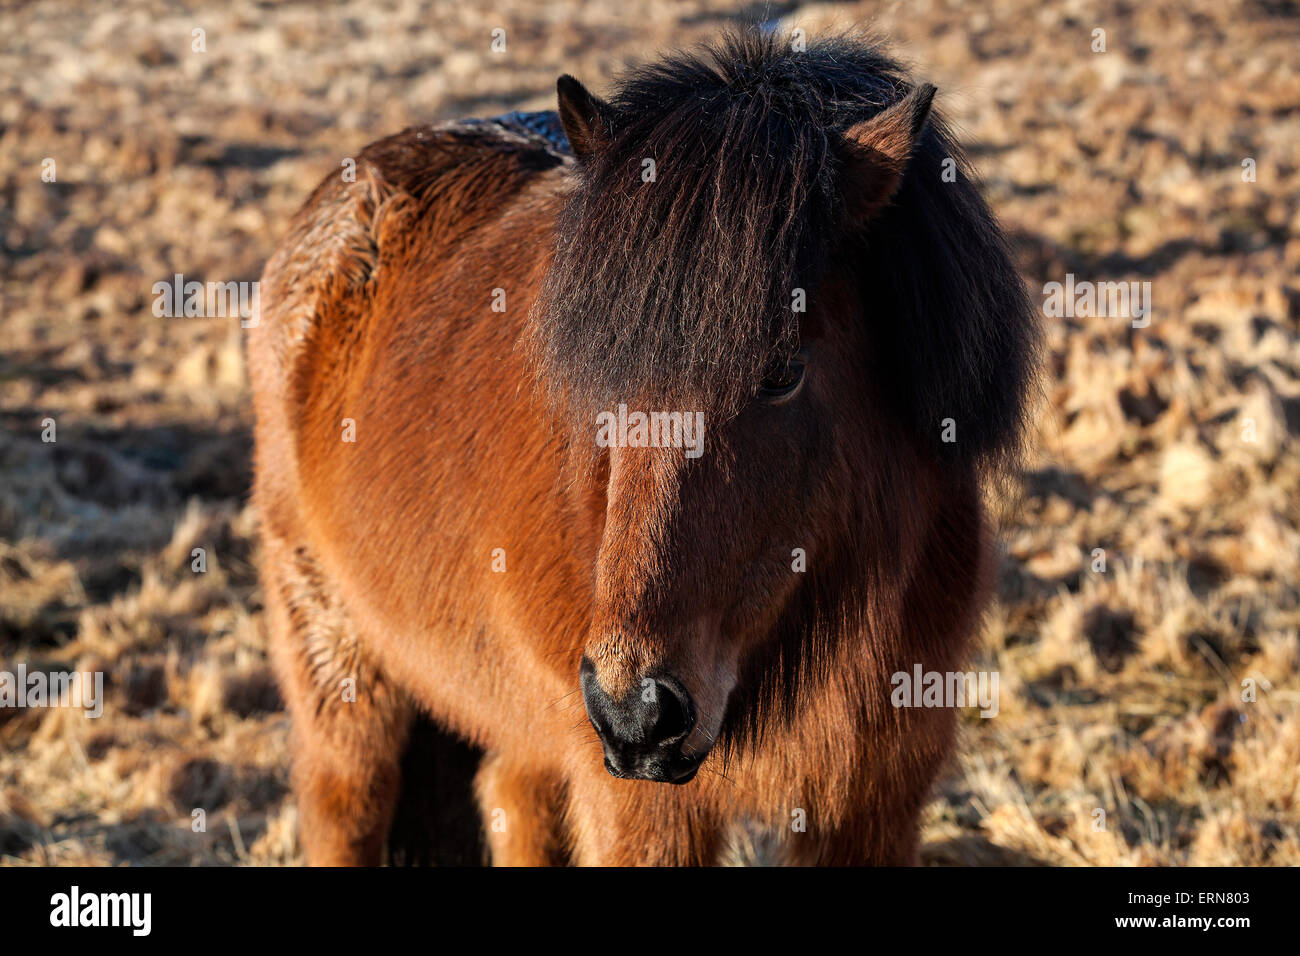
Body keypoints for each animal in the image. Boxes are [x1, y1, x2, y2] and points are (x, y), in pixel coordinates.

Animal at [248, 29, 1040, 866]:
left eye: (783, 372)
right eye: (599, 374)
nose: (638, 716)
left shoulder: (876, 801)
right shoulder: (641, 809)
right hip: (343, 681)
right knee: (344, 804)